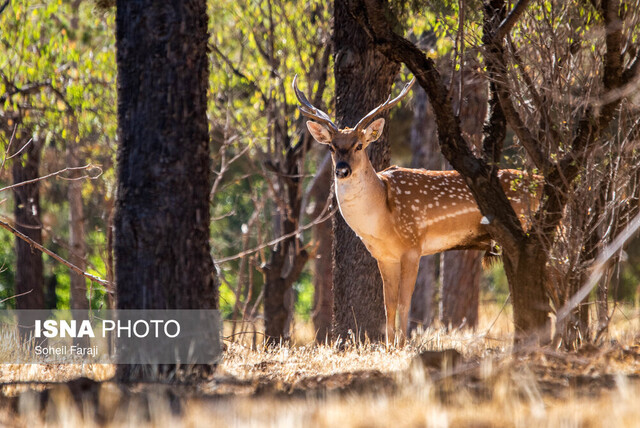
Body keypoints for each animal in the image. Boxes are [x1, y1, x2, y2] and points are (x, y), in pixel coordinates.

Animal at [296, 75, 540, 346]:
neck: (382, 220)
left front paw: (403, 344)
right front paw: (389, 345)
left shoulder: (413, 246)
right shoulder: (384, 256)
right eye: (331, 147)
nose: (342, 169)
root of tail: (541, 181)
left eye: (359, 145)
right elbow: (389, 305)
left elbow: (405, 302)